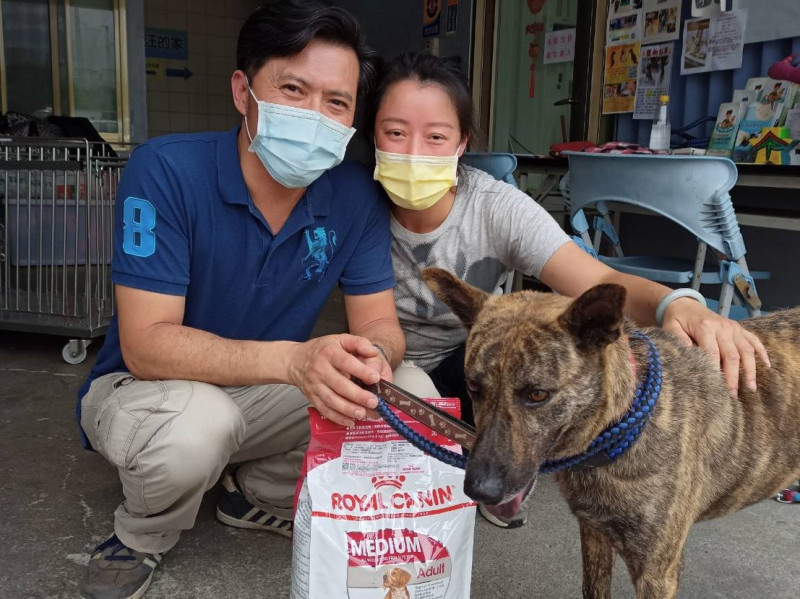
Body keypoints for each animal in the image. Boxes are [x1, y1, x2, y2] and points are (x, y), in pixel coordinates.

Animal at [422, 270, 796, 599]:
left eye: (538, 394)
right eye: (473, 387)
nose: (478, 490)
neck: (619, 431)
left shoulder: (656, 574)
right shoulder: (594, 533)